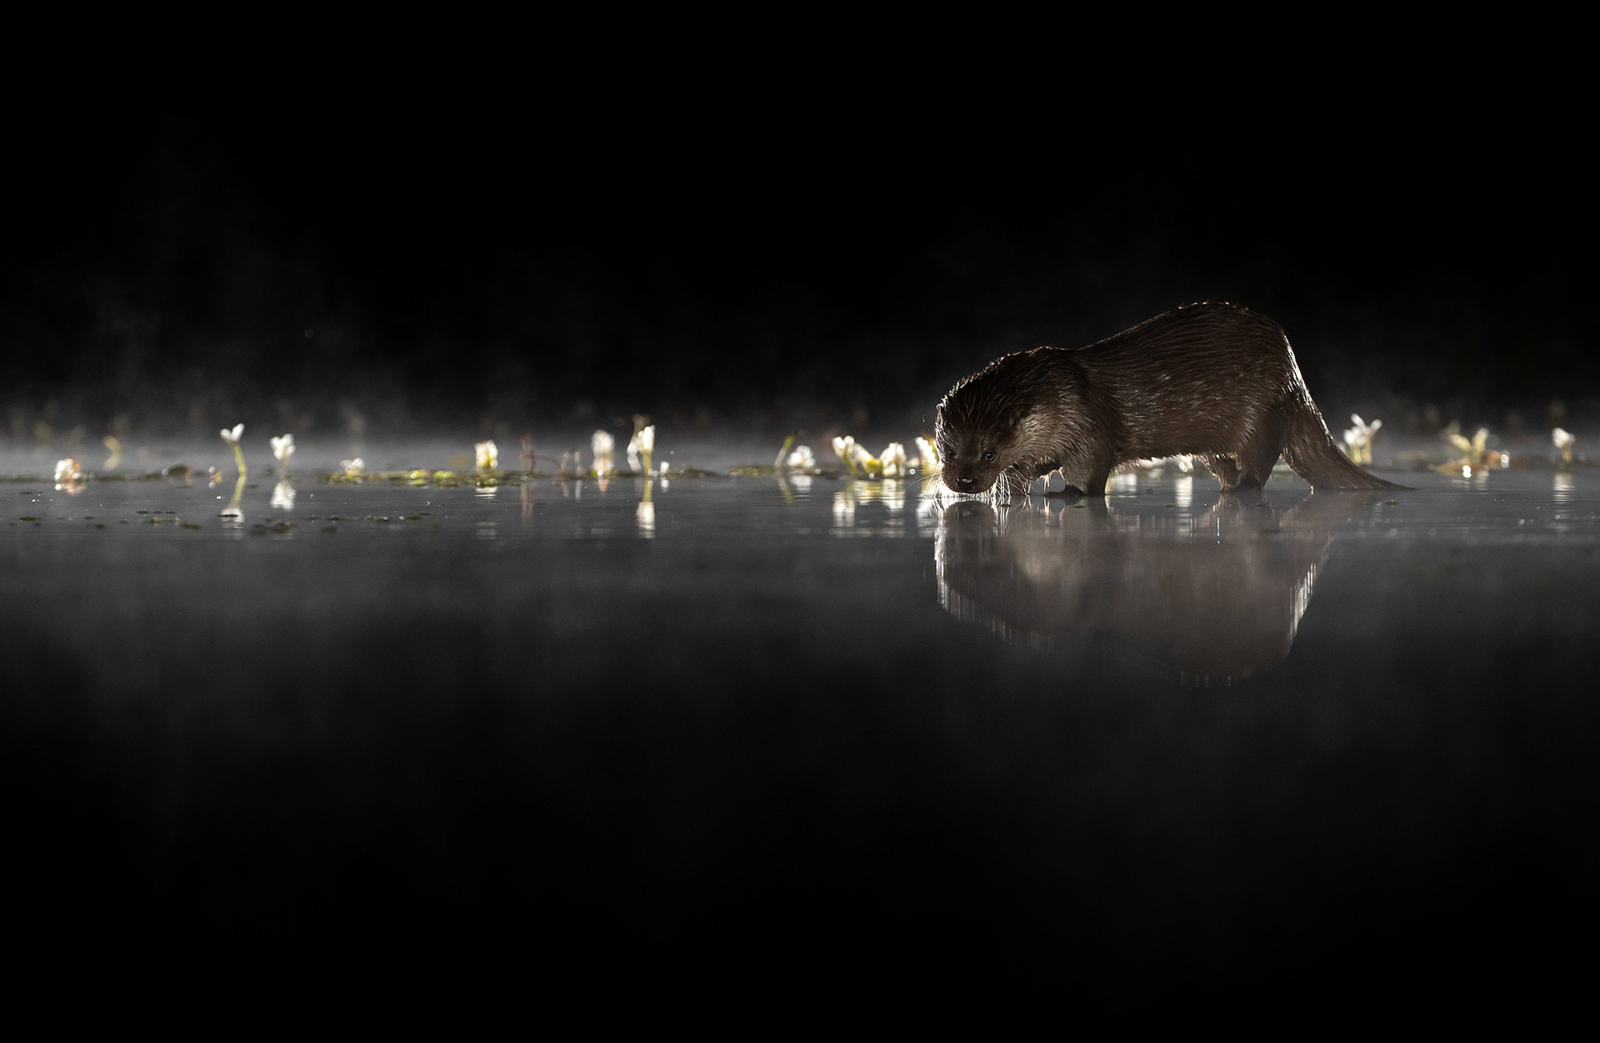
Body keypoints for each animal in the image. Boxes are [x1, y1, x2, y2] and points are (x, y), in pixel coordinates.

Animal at [935, 302, 1405, 495]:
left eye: (990, 452)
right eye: (950, 450)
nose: (964, 482)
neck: (1059, 398)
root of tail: (1295, 376)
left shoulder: (1088, 425)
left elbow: (1088, 475)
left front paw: (1065, 494)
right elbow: (1033, 469)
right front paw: (1015, 490)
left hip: (1262, 413)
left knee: (1259, 465)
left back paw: (1241, 490)